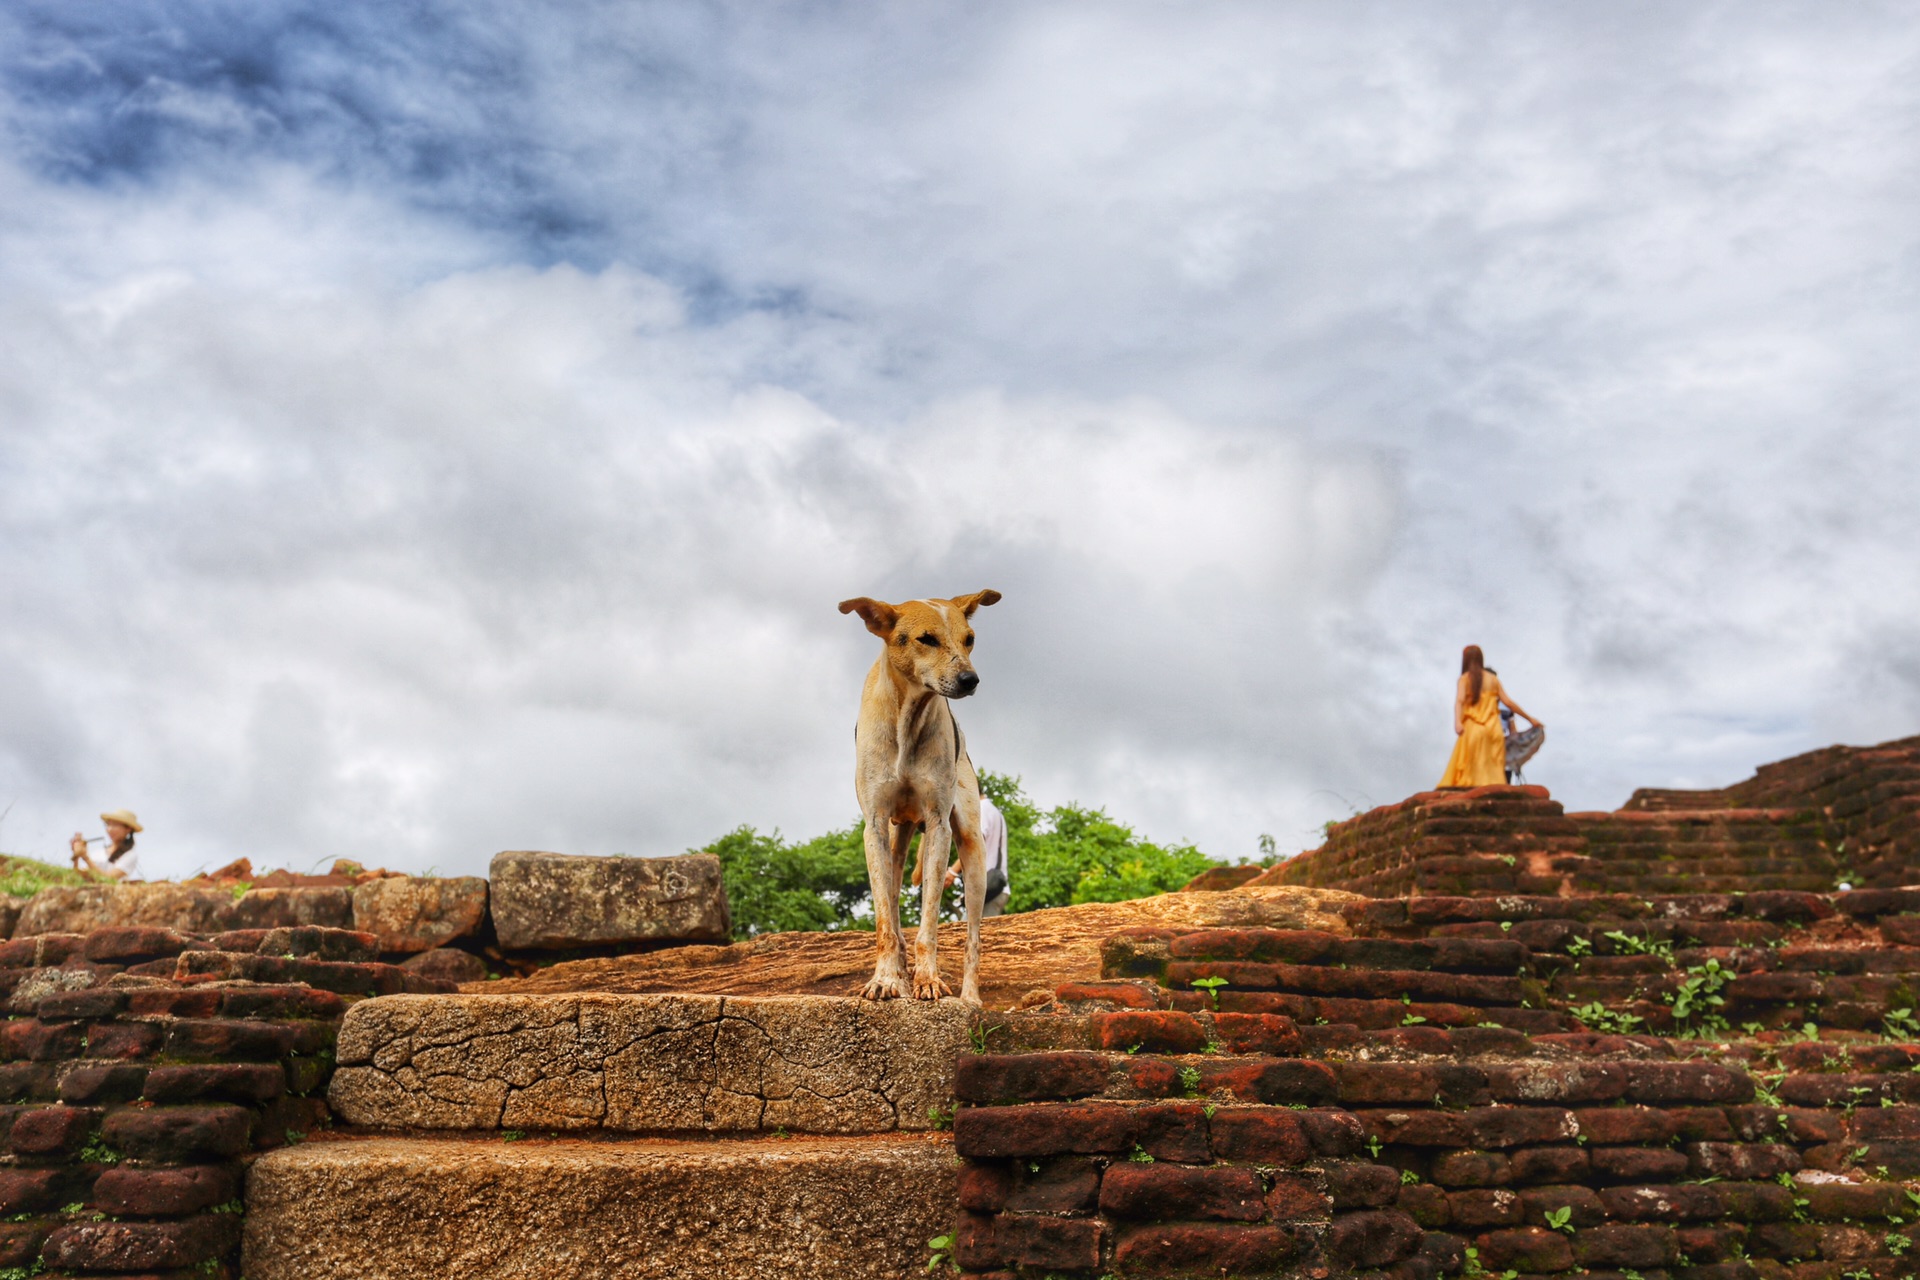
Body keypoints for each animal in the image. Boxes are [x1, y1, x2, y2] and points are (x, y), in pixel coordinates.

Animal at [840, 587, 1006, 1005]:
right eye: (926, 639)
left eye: (969, 639)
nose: (970, 679)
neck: (908, 718)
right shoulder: (875, 827)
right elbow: (886, 920)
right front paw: (886, 979)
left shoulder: (937, 825)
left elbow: (929, 921)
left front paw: (927, 980)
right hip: (896, 842)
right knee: (895, 906)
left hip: (973, 856)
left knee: (973, 939)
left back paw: (970, 998)